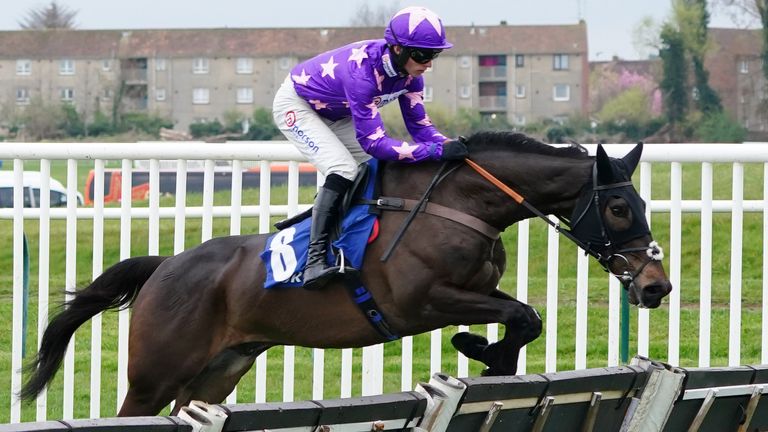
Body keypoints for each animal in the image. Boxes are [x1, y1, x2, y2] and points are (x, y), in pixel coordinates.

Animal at [21, 131, 672, 416]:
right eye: (619, 207)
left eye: (641, 203)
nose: (655, 285)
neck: (458, 202)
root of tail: (165, 268)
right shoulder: (420, 301)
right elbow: (522, 314)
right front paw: (480, 349)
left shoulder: (475, 289)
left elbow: (524, 317)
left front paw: (488, 354)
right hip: (155, 375)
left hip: (215, 373)